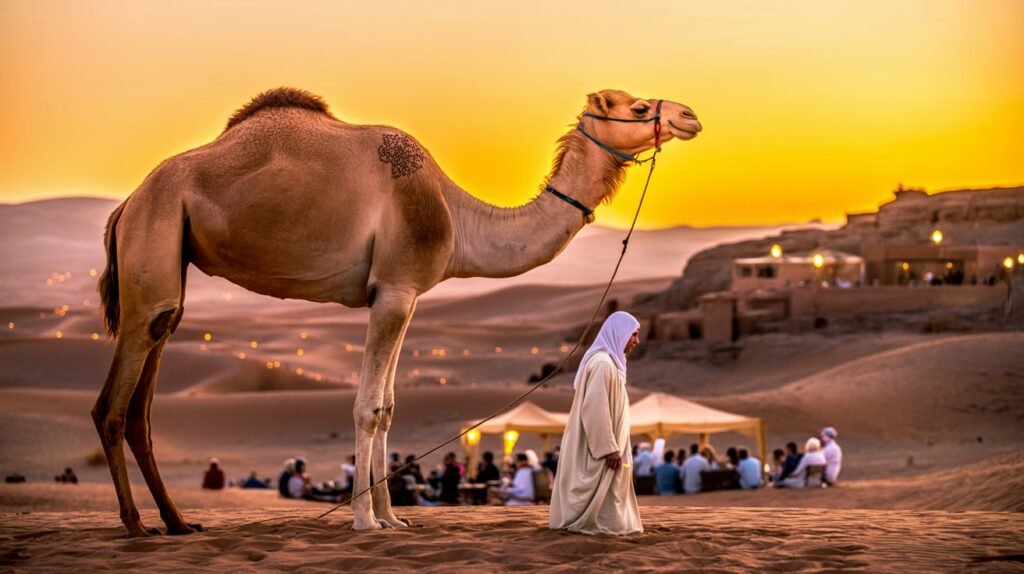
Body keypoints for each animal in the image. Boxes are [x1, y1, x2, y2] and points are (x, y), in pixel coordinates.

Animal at [93, 87, 701, 536]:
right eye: (638, 107)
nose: (690, 115)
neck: (455, 213)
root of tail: (127, 203)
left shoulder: (404, 294)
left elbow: (387, 408)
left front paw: (392, 517)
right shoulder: (392, 290)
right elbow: (368, 408)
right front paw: (364, 521)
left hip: (172, 260)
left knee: (149, 384)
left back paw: (177, 523)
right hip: (154, 235)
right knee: (112, 405)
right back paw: (135, 526)